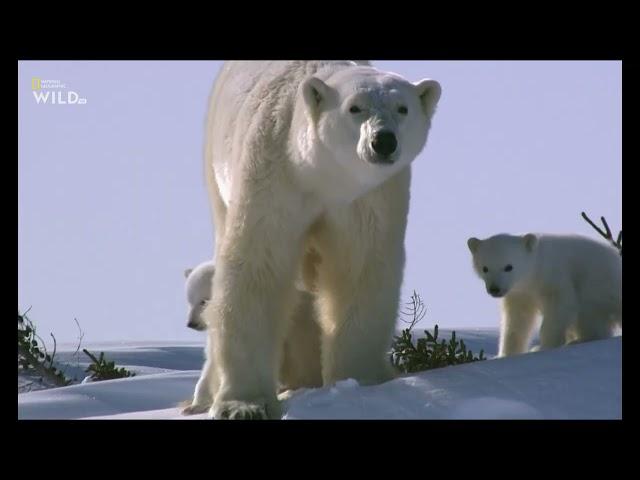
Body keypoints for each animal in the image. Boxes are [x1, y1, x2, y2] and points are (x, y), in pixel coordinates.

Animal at [198, 62, 442, 418]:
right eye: (354, 107)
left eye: (402, 108)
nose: (383, 141)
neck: (322, 178)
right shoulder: (275, 176)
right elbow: (259, 266)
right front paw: (243, 405)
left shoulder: (369, 199)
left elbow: (359, 271)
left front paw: (359, 381)